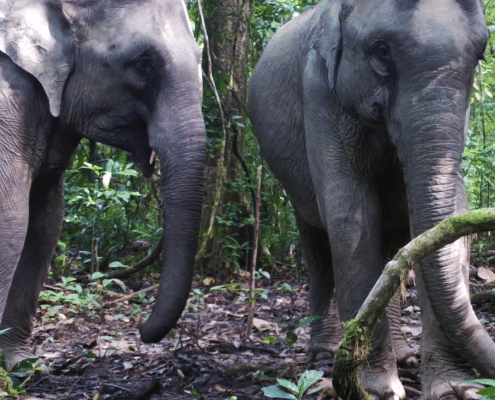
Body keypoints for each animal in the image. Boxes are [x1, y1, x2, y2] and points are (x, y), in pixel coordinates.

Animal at [250, 0, 494, 398]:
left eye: (480, 54)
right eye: (381, 51)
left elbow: (452, 217)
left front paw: (454, 387)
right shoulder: (319, 93)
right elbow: (349, 214)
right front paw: (377, 389)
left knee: (391, 249)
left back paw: (406, 355)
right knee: (317, 249)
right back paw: (323, 355)